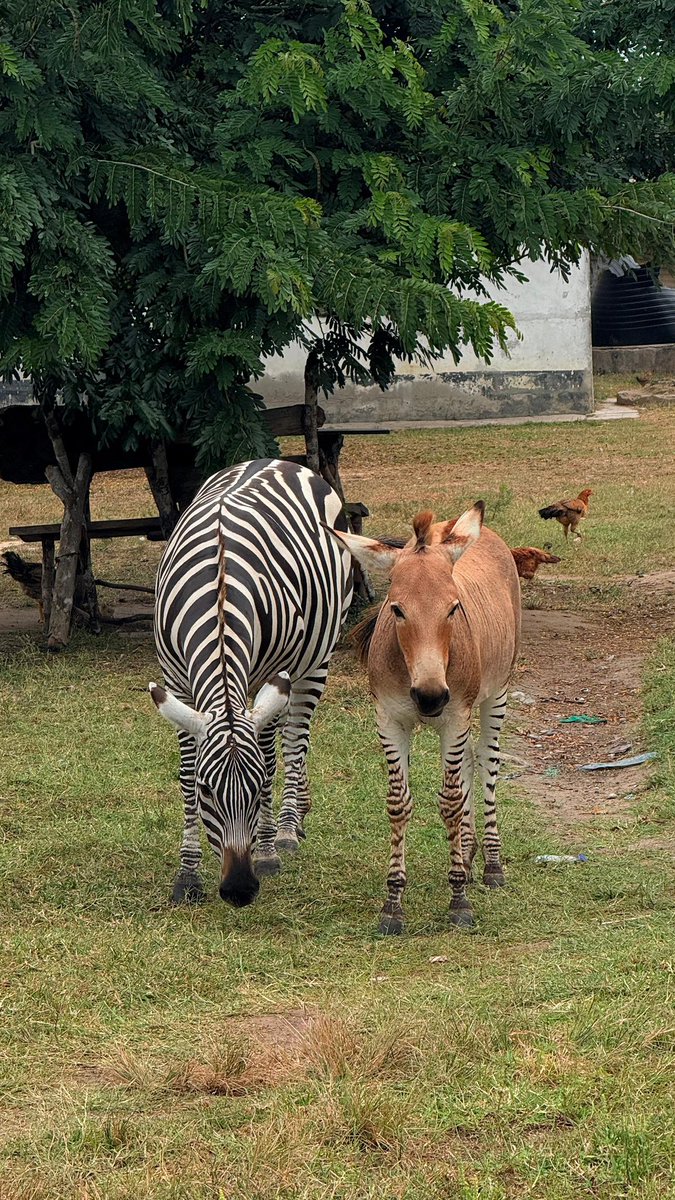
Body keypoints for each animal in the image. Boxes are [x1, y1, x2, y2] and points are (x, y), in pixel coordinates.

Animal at [149, 458, 352, 908]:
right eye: (207, 791)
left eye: (258, 789)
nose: (240, 891)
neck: (219, 595)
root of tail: (278, 461)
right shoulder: (176, 682)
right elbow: (185, 771)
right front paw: (187, 873)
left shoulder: (268, 673)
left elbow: (271, 758)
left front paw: (267, 849)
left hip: (318, 656)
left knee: (295, 738)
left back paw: (289, 826)